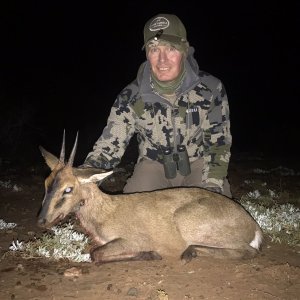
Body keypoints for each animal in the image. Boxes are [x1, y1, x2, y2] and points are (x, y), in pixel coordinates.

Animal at [37, 132, 262, 264]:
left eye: (68, 188)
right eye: (46, 183)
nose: (41, 220)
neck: (107, 212)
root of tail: (254, 226)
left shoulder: (134, 239)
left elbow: (96, 254)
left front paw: (151, 254)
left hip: (190, 223)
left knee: (249, 251)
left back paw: (189, 253)